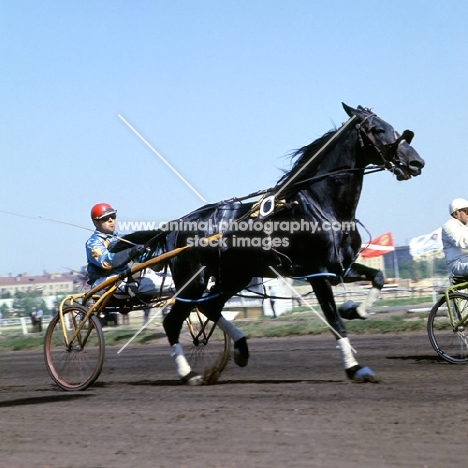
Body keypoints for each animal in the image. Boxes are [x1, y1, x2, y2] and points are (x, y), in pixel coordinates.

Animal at [120, 104, 424, 386]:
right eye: (378, 130)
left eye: (392, 126)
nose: (416, 162)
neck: (323, 206)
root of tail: (177, 224)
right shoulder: (317, 272)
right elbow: (334, 320)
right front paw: (355, 368)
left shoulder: (340, 268)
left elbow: (378, 277)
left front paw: (357, 309)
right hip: (193, 280)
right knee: (173, 321)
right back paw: (189, 373)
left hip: (234, 276)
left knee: (210, 307)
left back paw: (241, 348)